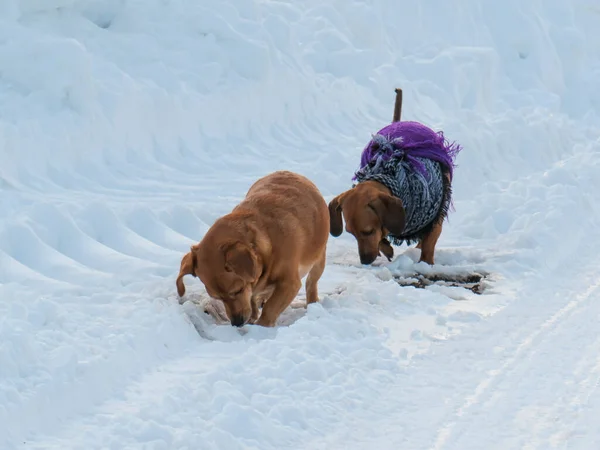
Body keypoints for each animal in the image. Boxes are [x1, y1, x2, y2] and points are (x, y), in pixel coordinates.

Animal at [176, 171, 330, 328]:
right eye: (217, 298)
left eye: (238, 290)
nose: (236, 323)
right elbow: (253, 298)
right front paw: (254, 315)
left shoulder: (289, 284)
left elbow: (271, 307)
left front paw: (261, 326)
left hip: (318, 260)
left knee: (311, 283)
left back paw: (312, 303)